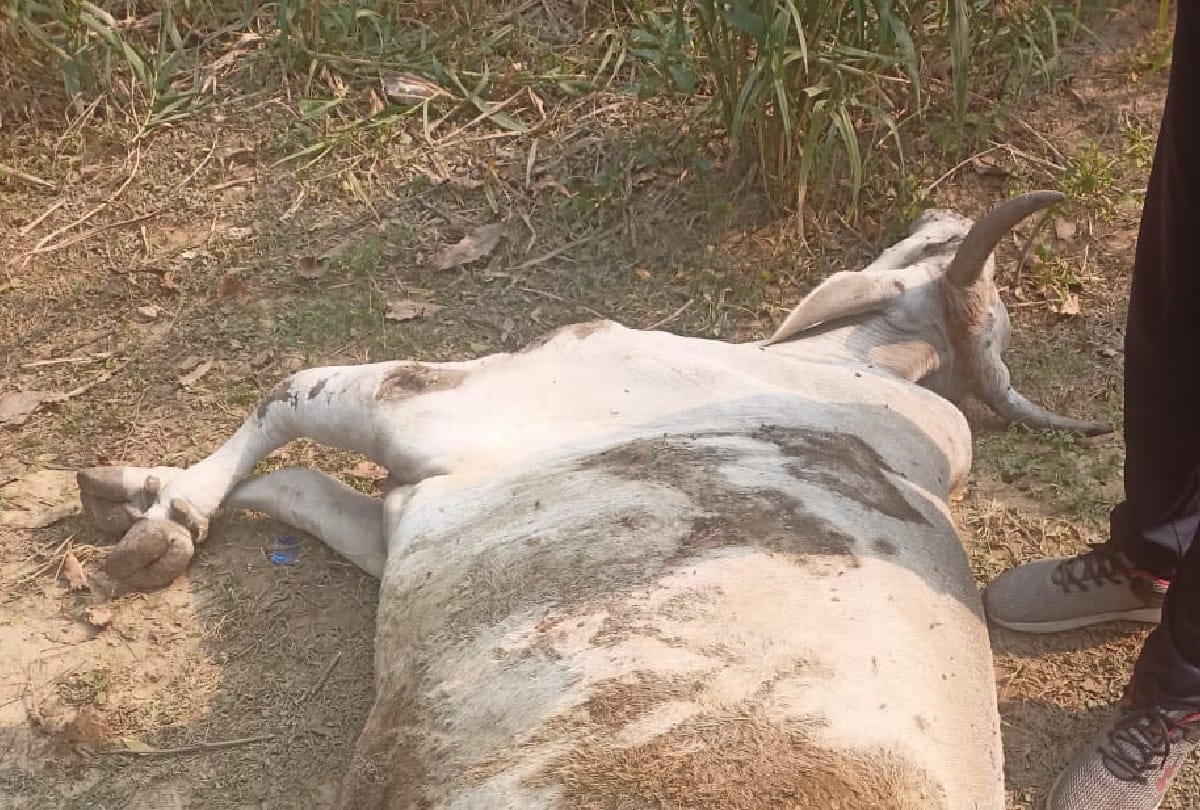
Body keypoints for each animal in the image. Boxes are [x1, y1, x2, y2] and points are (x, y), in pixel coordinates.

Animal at [75, 191, 1104, 809]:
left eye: (932, 246)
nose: (946, 207)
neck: (839, 375)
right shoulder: (399, 517)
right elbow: (287, 483)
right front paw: (142, 492)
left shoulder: (440, 406)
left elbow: (288, 394)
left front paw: (161, 518)